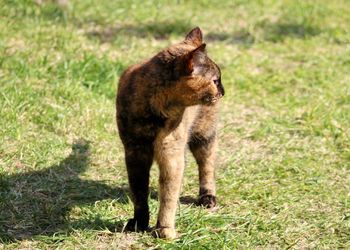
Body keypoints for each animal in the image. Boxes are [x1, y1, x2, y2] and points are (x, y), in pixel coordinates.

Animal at [115, 26, 224, 238]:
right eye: (215, 81)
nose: (223, 91)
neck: (155, 110)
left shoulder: (171, 154)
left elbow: (168, 196)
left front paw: (164, 230)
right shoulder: (135, 152)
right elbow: (139, 192)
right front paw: (139, 223)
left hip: (204, 136)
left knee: (206, 166)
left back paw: (207, 197)